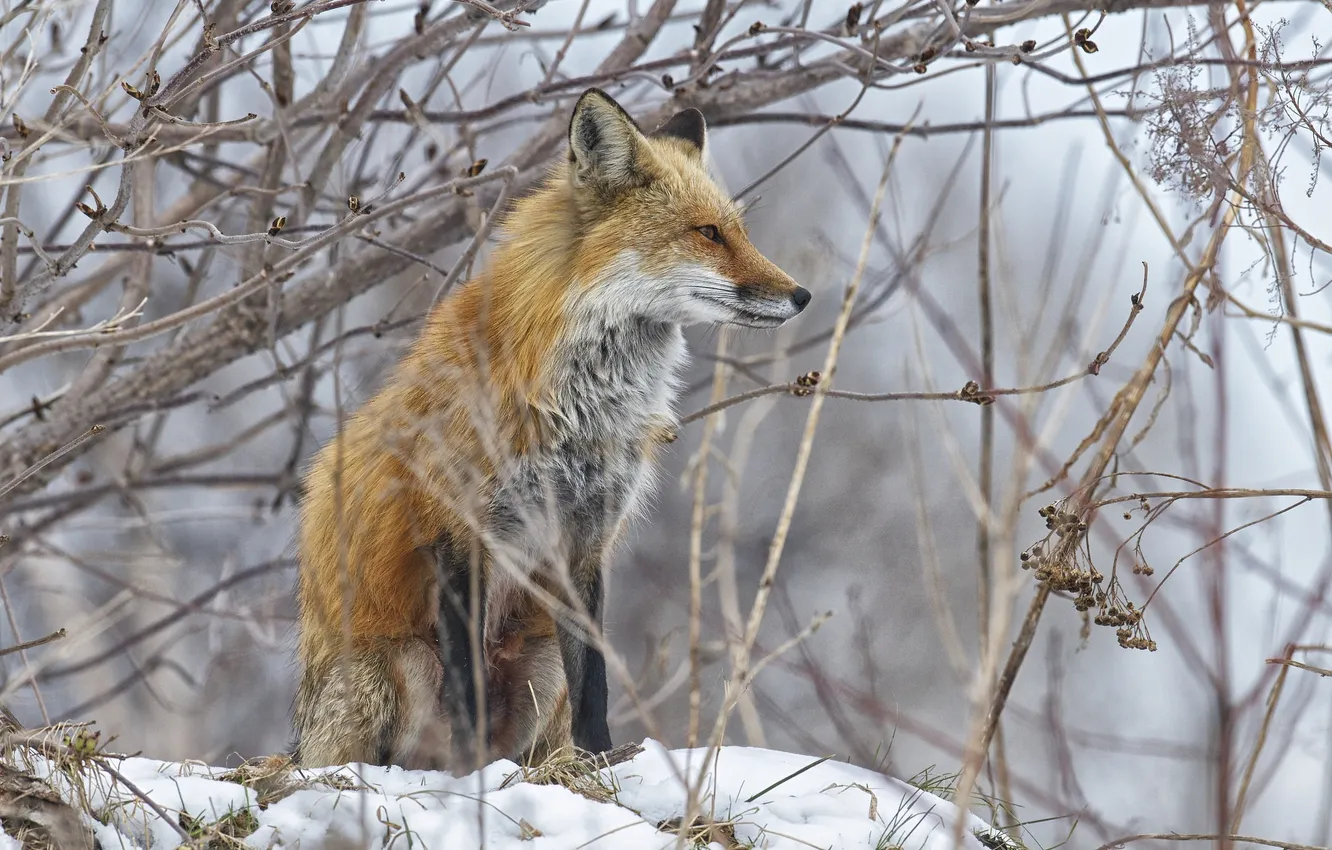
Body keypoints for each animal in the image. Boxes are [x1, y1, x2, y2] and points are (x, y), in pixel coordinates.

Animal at [291, 87, 810, 770]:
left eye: (738, 231)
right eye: (708, 233)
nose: (802, 295)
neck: (578, 410)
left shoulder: (584, 537)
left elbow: (595, 680)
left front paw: (601, 761)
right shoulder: (456, 532)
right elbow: (468, 688)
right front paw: (473, 781)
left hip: (538, 662)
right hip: (393, 664)